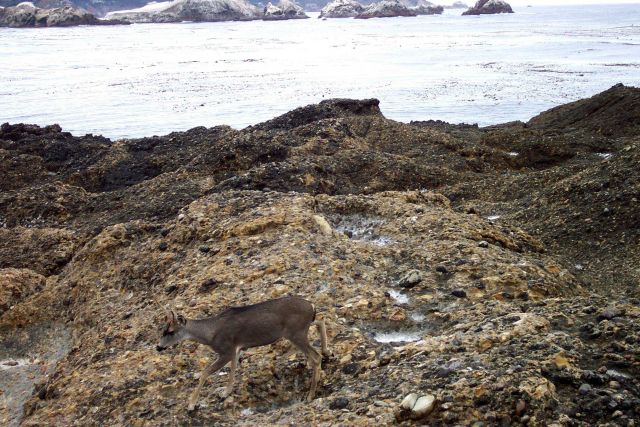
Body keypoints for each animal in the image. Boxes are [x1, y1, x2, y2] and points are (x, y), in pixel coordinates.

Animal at [155, 295, 330, 411]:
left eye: (170, 331)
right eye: (162, 330)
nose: (158, 347)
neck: (210, 334)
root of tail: (312, 305)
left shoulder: (226, 349)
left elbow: (206, 372)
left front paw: (191, 404)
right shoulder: (236, 349)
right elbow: (233, 369)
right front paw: (226, 392)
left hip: (295, 333)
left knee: (315, 357)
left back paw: (310, 395)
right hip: (300, 330)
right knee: (320, 321)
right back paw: (326, 352)